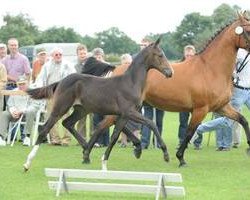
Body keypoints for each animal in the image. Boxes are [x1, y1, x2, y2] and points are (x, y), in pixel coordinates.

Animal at [22, 37, 173, 170]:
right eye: (160, 55)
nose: (170, 73)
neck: (130, 83)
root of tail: (61, 81)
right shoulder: (128, 112)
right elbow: (150, 123)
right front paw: (165, 154)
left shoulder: (123, 115)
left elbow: (115, 134)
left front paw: (135, 151)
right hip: (61, 107)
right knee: (44, 129)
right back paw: (27, 163)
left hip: (81, 110)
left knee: (67, 123)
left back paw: (86, 150)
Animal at [83, 11, 250, 168]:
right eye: (248, 30)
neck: (210, 69)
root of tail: (117, 68)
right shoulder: (200, 110)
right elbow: (189, 132)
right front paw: (180, 158)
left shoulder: (221, 107)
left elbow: (243, 120)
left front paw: (248, 149)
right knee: (105, 125)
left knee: (106, 125)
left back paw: (91, 155)